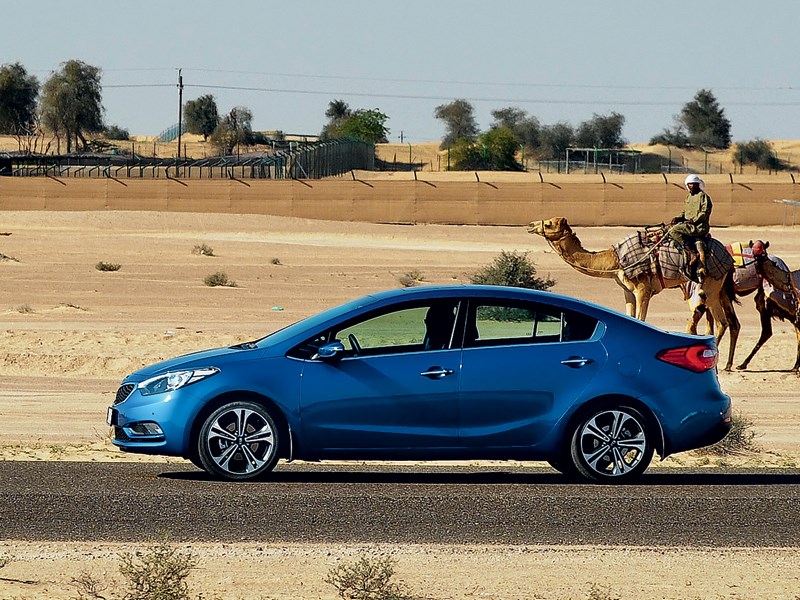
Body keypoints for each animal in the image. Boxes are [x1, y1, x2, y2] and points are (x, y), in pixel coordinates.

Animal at [528, 217, 740, 370]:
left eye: (549, 223)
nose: (531, 225)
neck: (615, 260)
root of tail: (728, 258)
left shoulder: (642, 288)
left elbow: (641, 319)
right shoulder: (628, 291)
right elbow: (630, 316)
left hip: (710, 286)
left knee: (720, 321)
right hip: (720, 288)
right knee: (728, 322)